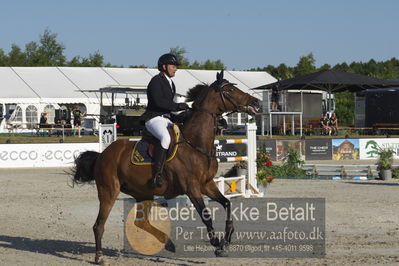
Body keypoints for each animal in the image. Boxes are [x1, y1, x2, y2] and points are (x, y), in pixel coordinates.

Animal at [73, 70, 260, 264]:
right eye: (230, 90)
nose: (256, 102)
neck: (196, 143)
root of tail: (102, 155)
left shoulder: (207, 184)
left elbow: (227, 203)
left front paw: (227, 238)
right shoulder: (192, 187)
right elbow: (206, 215)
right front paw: (217, 243)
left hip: (143, 193)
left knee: (141, 222)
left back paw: (168, 243)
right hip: (108, 191)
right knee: (99, 225)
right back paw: (99, 256)